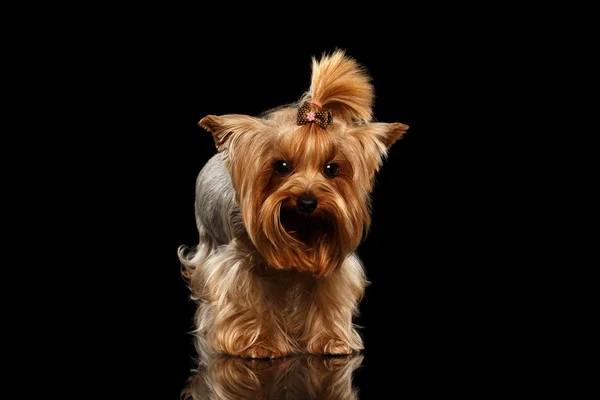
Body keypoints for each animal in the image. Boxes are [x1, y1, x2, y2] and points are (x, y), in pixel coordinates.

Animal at [178, 49, 410, 360]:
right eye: (281, 166)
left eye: (331, 169)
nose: (307, 202)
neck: (301, 229)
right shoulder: (239, 264)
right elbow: (247, 299)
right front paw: (260, 344)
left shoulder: (332, 264)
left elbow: (327, 297)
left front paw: (331, 341)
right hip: (207, 242)